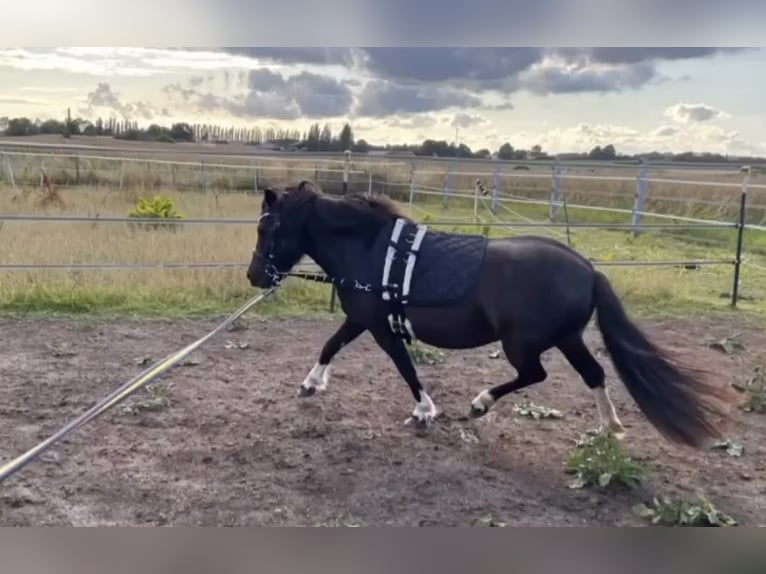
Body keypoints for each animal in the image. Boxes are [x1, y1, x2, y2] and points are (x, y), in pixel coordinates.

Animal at [249, 181, 736, 450]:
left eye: (265, 227)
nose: (255, 275)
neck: (369, 249)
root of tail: (588, 269)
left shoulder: (381, 328)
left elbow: (405, 368)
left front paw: (424, 412)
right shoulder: (360, 319)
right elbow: (330, 344)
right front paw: (310, 384)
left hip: (522, 343)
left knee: (535, 375)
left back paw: (481, 403)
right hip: (569, 338)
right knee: (594, 373)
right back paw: (608, 427)